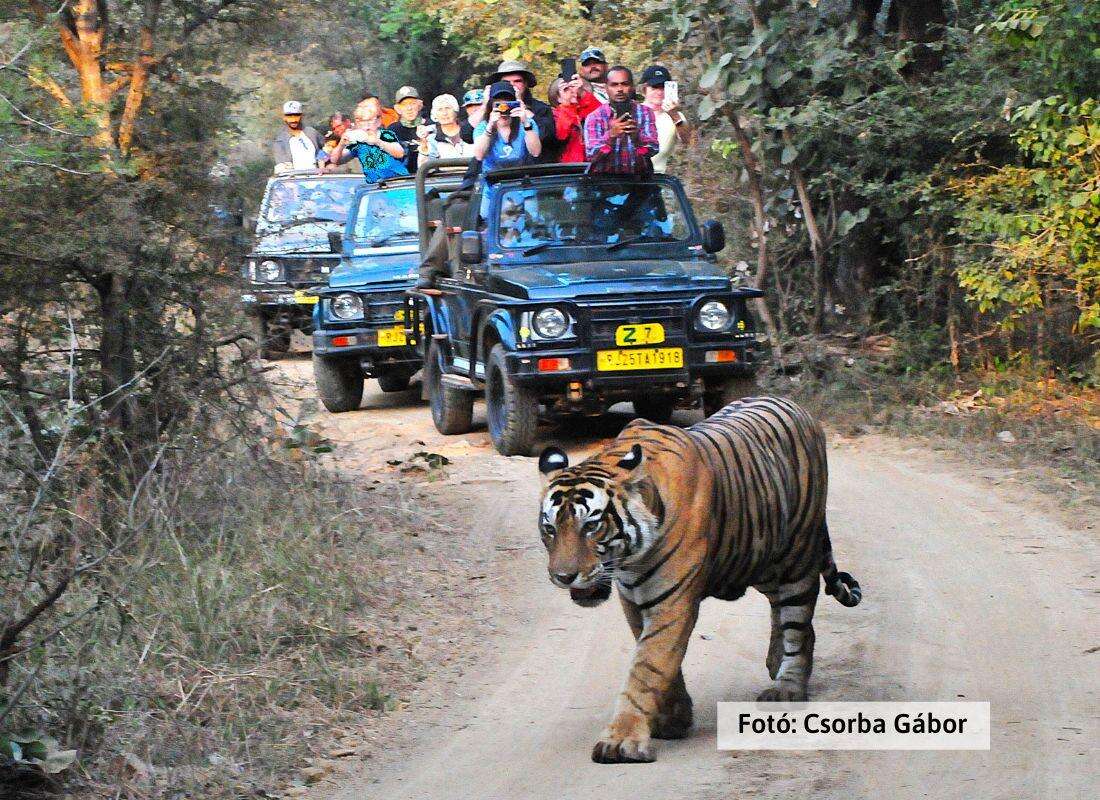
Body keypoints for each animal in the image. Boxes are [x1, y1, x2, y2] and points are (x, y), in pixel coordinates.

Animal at [536, 396, 862, 764]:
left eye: (591, 525)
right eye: (550, 528)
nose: (563, 576)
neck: (631, 558)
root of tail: (798, 406)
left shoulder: (671, 601)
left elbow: (647, 667)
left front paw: (621, 741)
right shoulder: (634, 600)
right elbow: (658, 661)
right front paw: (673, 718)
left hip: (797, 558)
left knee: (797, 620)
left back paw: (787, 686)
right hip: (760, 558)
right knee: (785, 613)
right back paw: (776, 661)